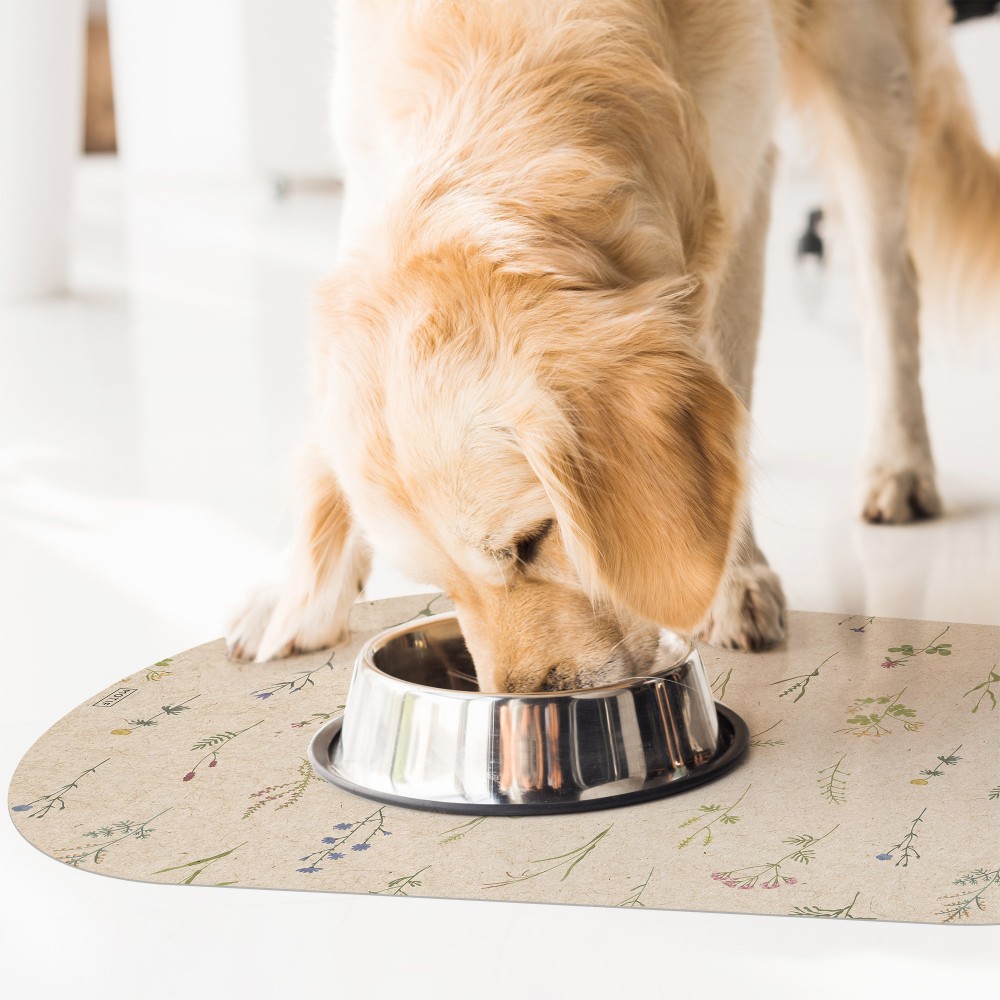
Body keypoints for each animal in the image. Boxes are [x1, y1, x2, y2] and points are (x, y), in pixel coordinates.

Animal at [227, 0, 1000, 688]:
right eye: (437, 580)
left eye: (532, 541)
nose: (524, 700)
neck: (503, 51)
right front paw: (296, 591)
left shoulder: (740, 168)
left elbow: (726, 369)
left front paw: (732, 576)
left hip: (865, 65)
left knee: (889, 279)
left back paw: (898, 463)